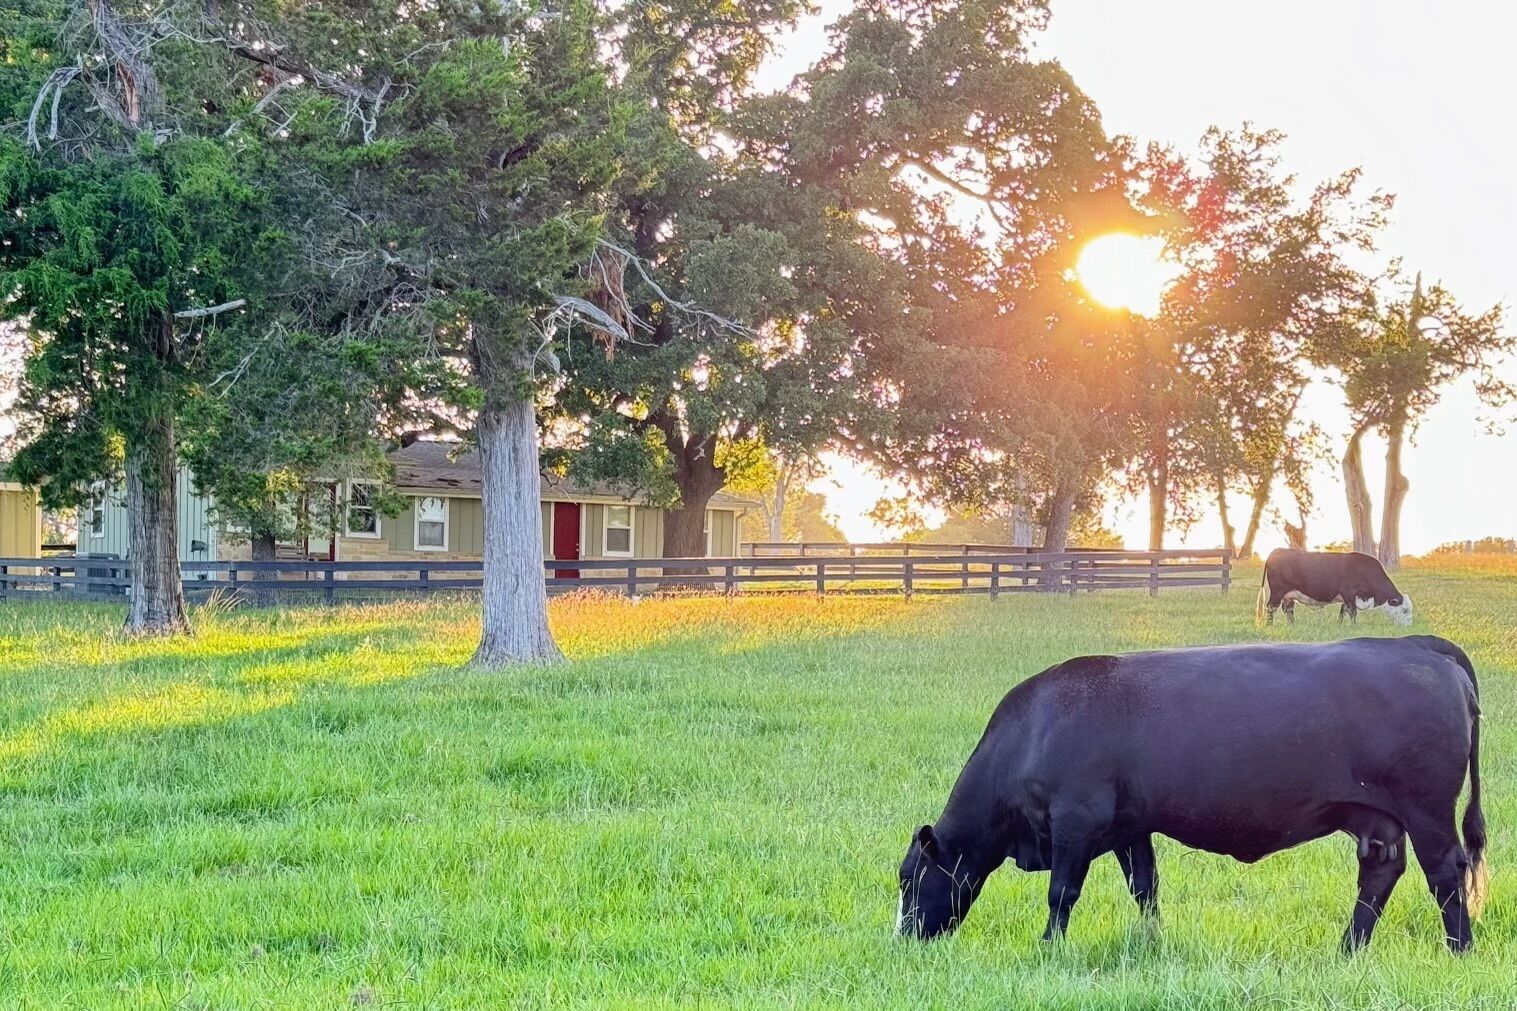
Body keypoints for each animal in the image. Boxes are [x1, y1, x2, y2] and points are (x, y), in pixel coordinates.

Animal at [895, 636, 1486, 952]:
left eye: (907, 880)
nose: (903, 939)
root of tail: (1418, 645)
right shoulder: (1129, 826)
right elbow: (1145, 887)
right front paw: (1151, 942)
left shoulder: (1075, 821)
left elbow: (1062, 892)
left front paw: (1049, 946)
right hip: (1376, 818)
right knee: (1380, 873)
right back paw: (1348, 949)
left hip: (1428, 809)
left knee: (1445, 874)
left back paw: (1459, 950)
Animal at [1256, 549, 1411, 627]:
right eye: (1404, 610)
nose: (1409, 627)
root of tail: (1276, 551)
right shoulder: (1349, 593)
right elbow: (1353, 612)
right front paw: (1355, 627)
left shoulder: (1347, 597)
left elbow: (1343, 611)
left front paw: (1340, 625)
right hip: (1277, 591)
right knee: (1271, 608)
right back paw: (1269, 625)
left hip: (1288, 595)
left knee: (1288, 610)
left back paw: (1292, 625)